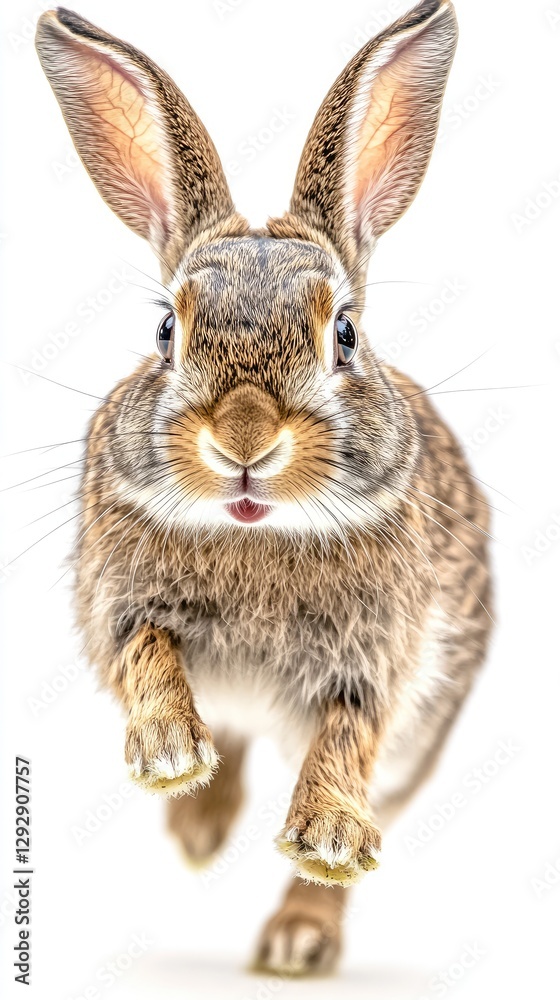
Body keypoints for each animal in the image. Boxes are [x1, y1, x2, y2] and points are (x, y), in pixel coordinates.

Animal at [35, 0, 492, 977]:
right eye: (167, 331)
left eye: (345, 334)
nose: (245, 438)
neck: (256, 530)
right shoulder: (120, 606)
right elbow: (150, 657)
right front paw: (170, 758)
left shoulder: (376, 661)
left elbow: (348, 738)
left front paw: (326, 839)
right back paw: (198, 824)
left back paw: (296, 939)